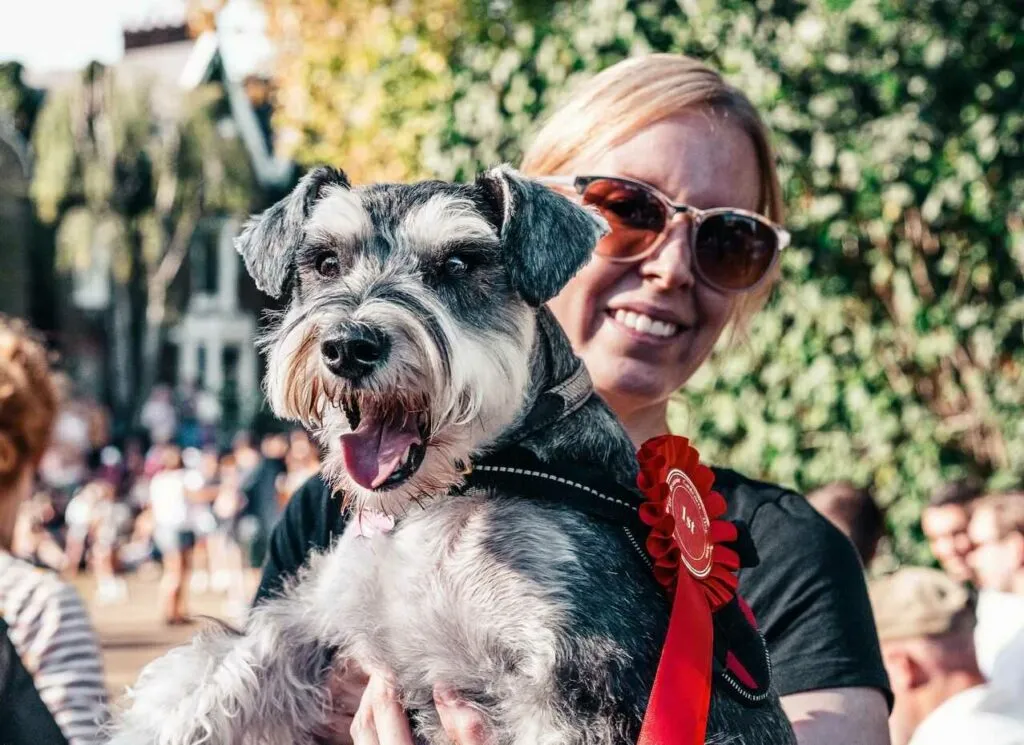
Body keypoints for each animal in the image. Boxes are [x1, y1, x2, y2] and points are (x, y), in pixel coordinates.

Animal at [105, 165, 790, 740]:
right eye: (324, 262)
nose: (349, 346)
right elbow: (226, 670)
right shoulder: (318, 612)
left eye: (459, 263)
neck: (447, 496)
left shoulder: (576, 682)